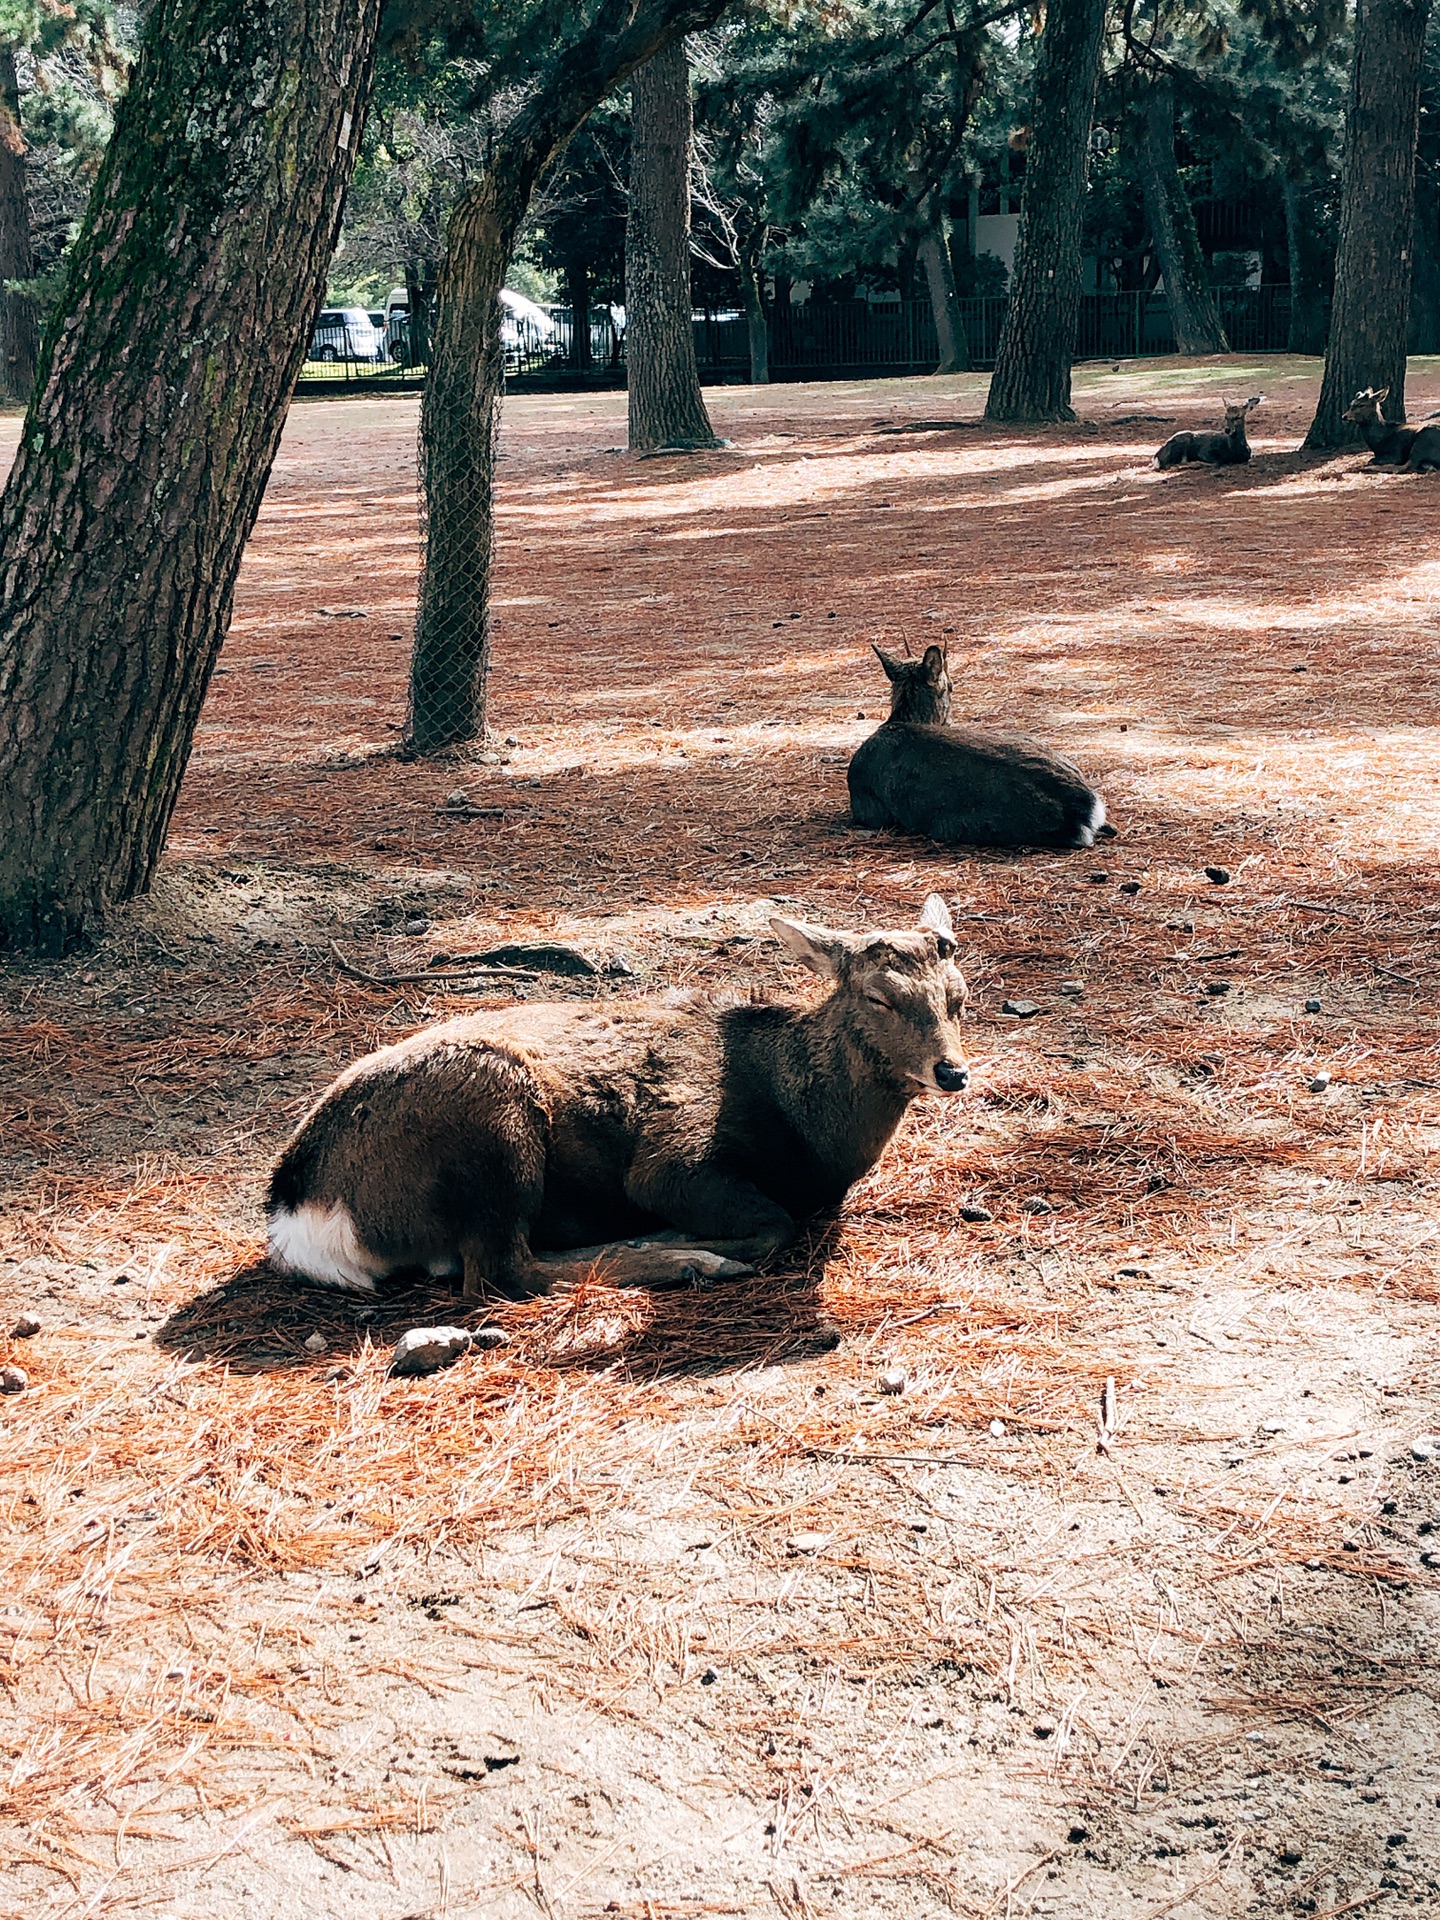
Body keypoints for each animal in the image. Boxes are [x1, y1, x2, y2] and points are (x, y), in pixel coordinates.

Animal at [266, 894, 975, 1290]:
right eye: (880, 997)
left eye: (960, 996)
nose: (953, 1071)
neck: (809, 1138)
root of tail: (301, 1214)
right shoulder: (674, 1152)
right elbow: (772, 1224)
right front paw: (683, 1242)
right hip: (493, 1113)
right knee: (501, 1271)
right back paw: (685, 1259)